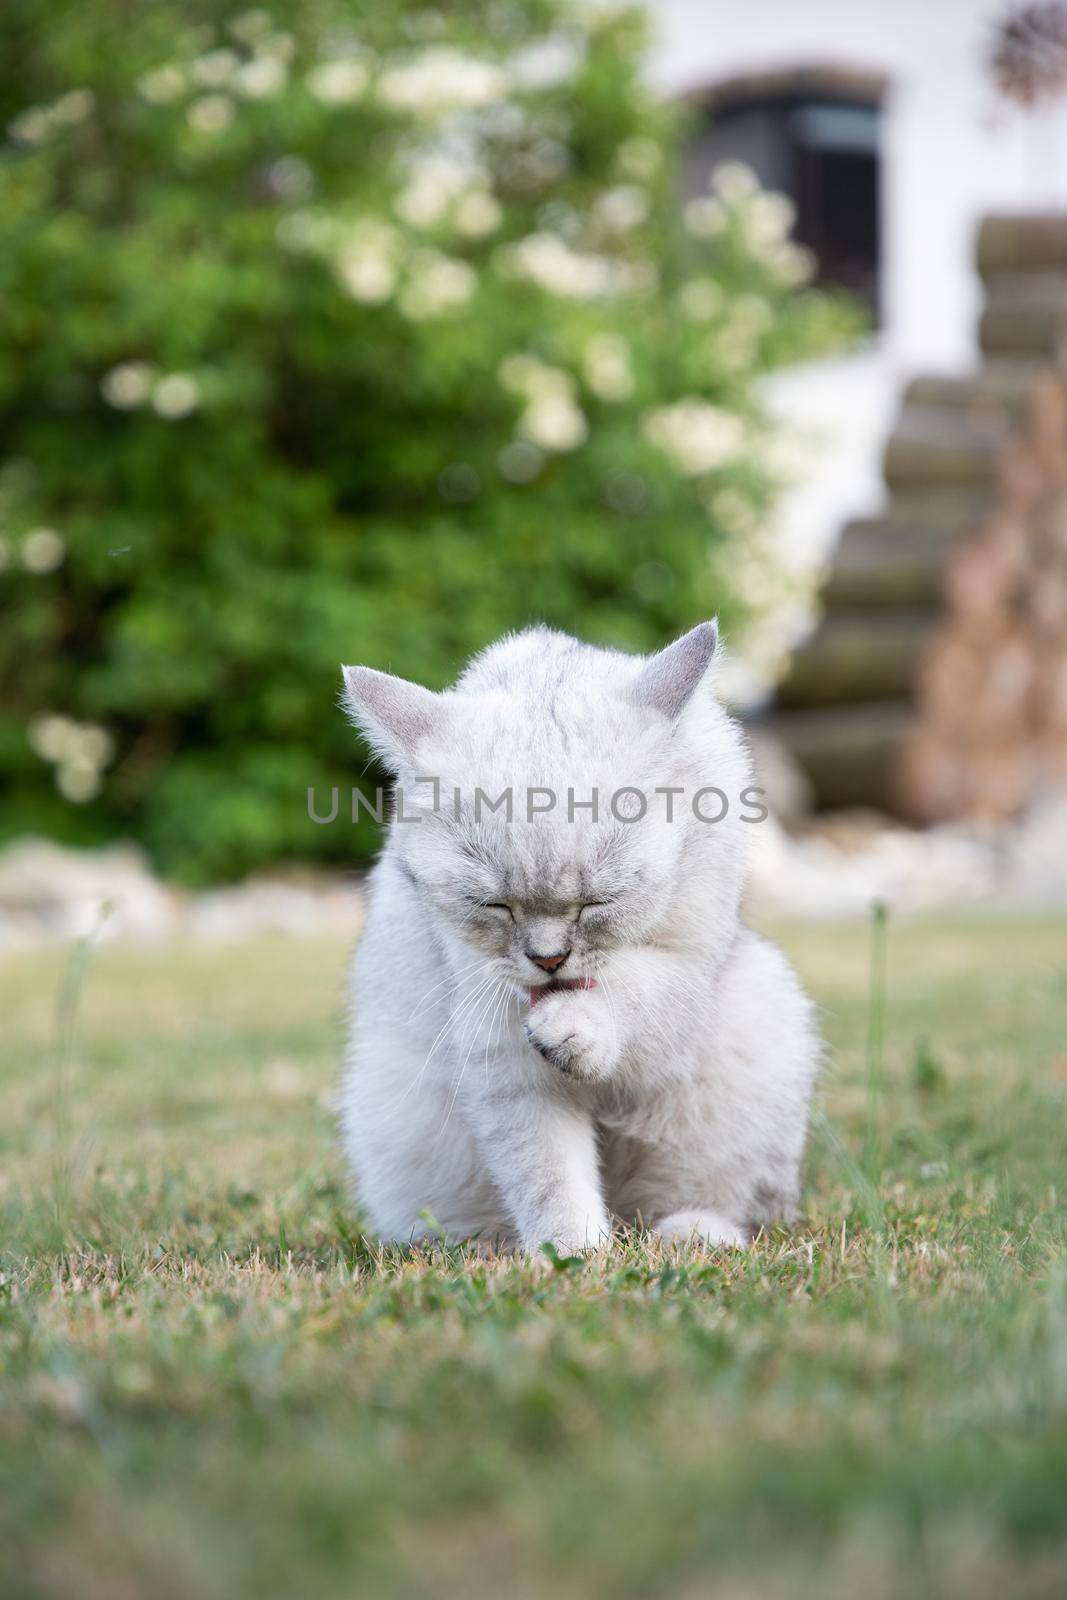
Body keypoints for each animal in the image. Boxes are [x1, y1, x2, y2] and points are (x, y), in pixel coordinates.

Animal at [340, 617, 819, 1254]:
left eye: (597, 903)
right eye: (495, 906)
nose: (548, 959)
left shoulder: (688, 973)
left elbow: (633, 993)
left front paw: (574, 1026)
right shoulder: (500, 1047)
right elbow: (549, 1176)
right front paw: (572, 1256)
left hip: (765, 1016)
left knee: (700, 1206)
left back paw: (696, 1236)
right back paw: (486, 1249)